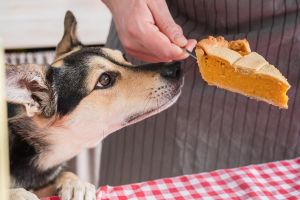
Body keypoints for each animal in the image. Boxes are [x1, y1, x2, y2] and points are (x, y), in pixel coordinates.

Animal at [7, 11, 184, 200]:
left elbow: (63, 175)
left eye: (124, 58)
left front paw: (76, 183)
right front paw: (22, 194)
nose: (177, 68)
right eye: (104, 79)